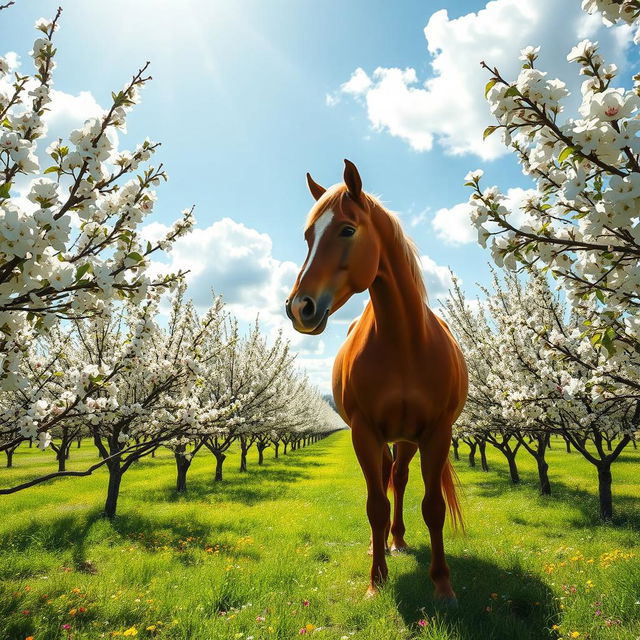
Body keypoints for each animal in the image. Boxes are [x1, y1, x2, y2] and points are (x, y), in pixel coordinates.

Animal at [288, 159, 468, 600]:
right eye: (308, 236)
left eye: (346, 229)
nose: (299, 307)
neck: (402, 341)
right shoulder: (364, 432)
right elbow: (374, 505)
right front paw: (376, 580)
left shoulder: (437, 432)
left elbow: (433, 507)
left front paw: (443, 584)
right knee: (387, 482)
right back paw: (382, 543)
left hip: (407, 440)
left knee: (399, 479)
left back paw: (398, 539)